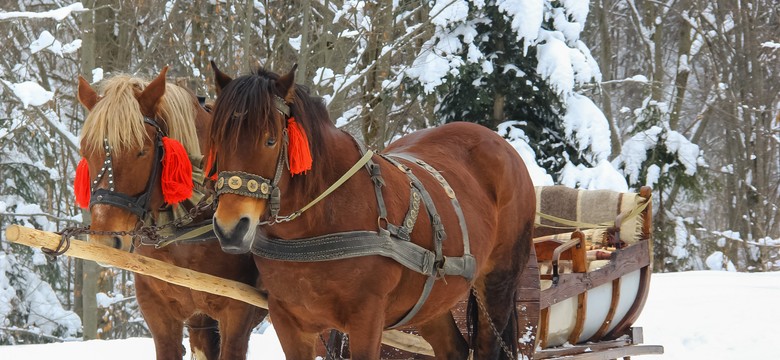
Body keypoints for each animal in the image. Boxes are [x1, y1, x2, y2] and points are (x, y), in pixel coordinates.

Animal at [207, 63, 536, 358]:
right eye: (217, 140)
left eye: (270, 139)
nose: (230, 229)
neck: (318, 222)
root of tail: (500, 143)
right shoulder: (288, 319)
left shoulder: (366, 318)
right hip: (431, 300)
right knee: (452, 348)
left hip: (498, 281)